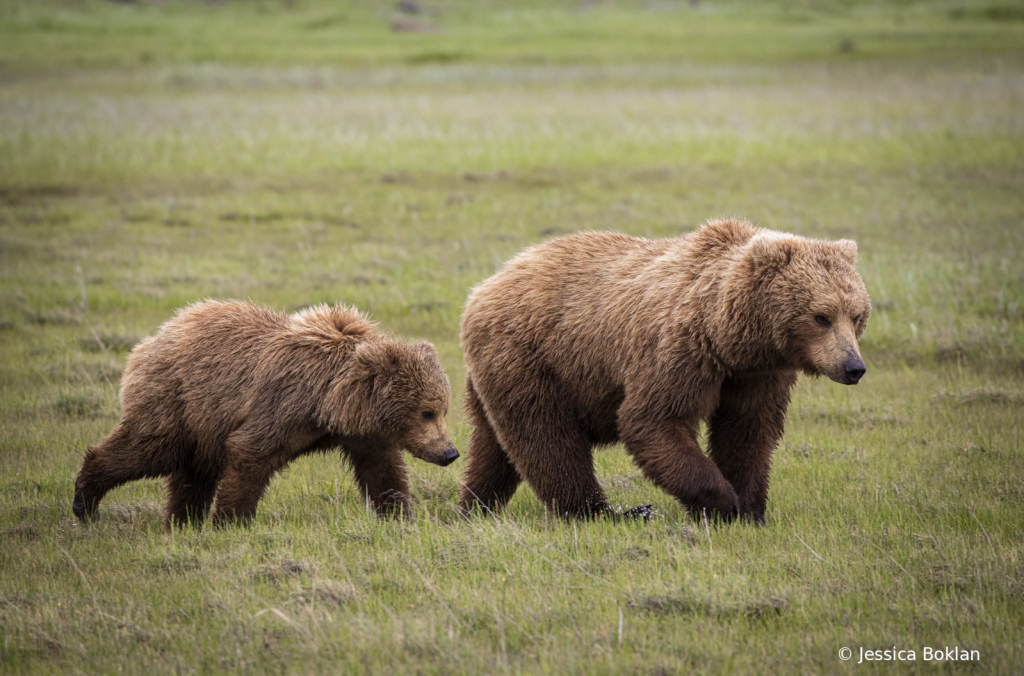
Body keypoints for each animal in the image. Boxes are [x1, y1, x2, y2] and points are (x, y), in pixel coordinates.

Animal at [72, 301, 456, 528]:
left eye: (442, 409)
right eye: (426, 412)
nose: (450, 452)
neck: (329, 400)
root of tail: (151, 340)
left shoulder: (361, 434)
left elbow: (383, 471)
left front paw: (400, 516)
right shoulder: (282, 406)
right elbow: (250, 453)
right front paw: (231, 521)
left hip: (203, 424)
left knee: (193, 472)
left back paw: (183, 521)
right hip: (179, 400)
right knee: (148, 449)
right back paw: (85, 501)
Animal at [460, 218, 868, 522]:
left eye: (857, 315)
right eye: (821, 316)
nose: (854, 367)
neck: (727, 336)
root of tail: (483, 287)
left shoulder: (756, 374)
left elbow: (747, 431)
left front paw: (751, 509)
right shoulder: (679, 351)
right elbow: (654, 420)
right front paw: (723, 503)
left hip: (497, 373)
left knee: (494, 444)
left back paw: (475, 505)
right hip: (534, 359)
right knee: (548, 438)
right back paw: (605, 511)